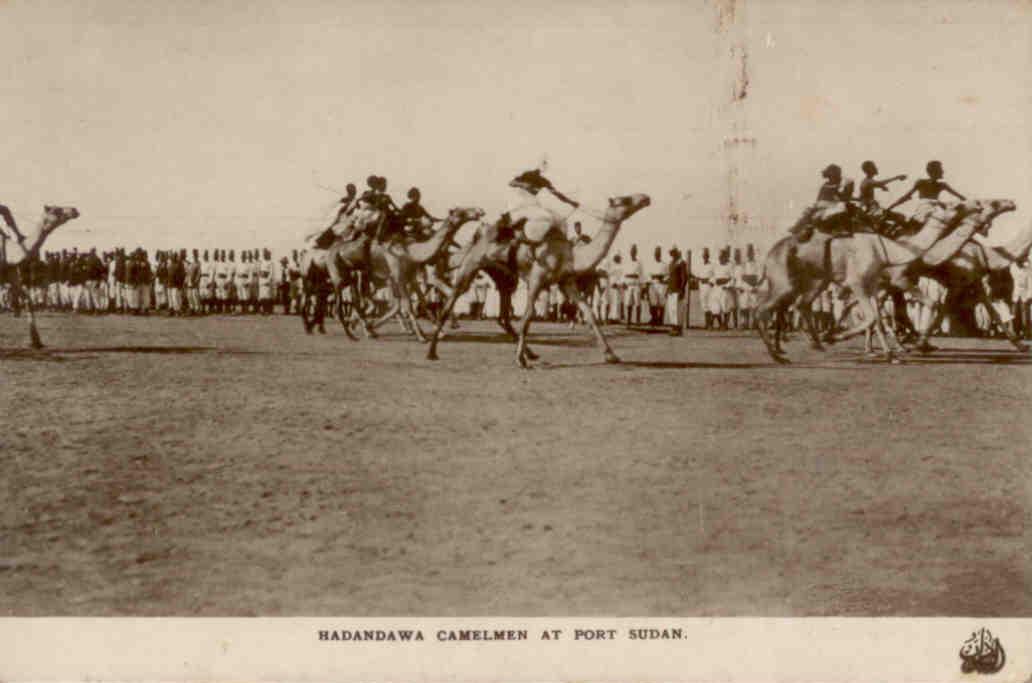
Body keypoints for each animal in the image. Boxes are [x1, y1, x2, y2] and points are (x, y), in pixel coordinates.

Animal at [427, 193, 652, 369]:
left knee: (503, 315)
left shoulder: (566, 282)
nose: (645, 198)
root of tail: (479, 234)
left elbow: (588, 313)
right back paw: (432, 351)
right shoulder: (536, 279)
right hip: (471, 265)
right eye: (625, 200)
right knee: (451, 300)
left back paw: (531, 352)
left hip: (505, 277)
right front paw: (520, 361)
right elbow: (528, 316)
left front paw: (611, 355)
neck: (569, 255)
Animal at [759, 198, 1015, 363]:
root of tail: (770, 252)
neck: (890, 249)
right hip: (784, 279)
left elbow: (878, 318)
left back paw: (805, 345)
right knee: (768, 308)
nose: (1011, 203)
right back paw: (781, 352)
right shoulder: (867, 282)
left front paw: (893, 352)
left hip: (814, 280)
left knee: (798, 305)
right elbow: (876, 317)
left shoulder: (875, 285)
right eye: (955, 206)